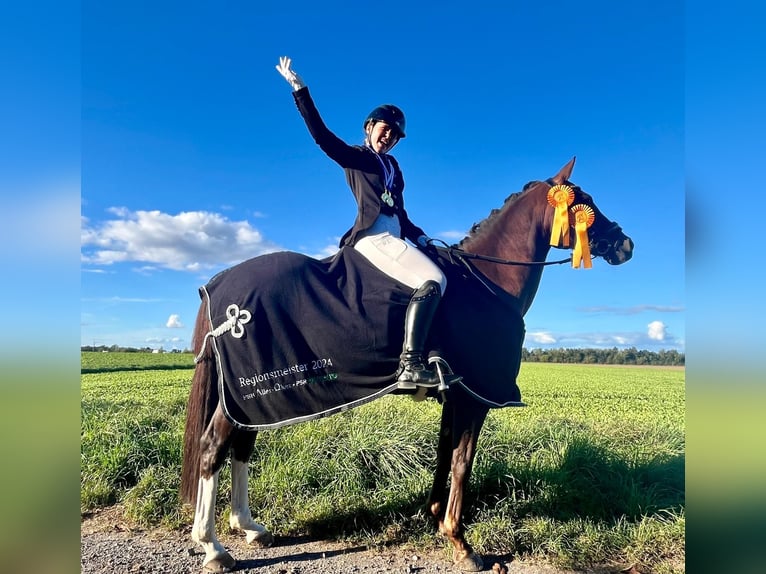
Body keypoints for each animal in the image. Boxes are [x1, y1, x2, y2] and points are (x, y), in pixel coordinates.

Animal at [180, 156, 636, 572]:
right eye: (583, 201)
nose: (626, 245)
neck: (488, 283)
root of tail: (219, 284)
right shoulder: (476, 399)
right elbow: (462, 463)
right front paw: (461, 543)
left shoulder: (456, 396)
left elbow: (444, 454)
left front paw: (436, 518)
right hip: (249, 394)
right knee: (213, 448)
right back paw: (213, 548)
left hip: (250, 401)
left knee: (241, 447)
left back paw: (249, 528)